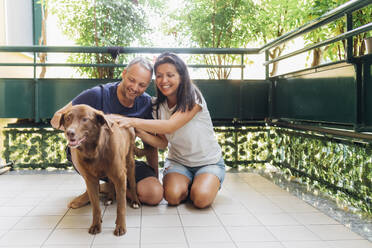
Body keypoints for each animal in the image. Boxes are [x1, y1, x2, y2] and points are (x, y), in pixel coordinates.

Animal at [58, 103, 140, 235]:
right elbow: (96, 207)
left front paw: (120, 227)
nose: (69, 132)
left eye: (85, 119)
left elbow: (121, 206)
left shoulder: (120, 177)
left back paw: (135, 201)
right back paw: (110, 198)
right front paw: (96, 225)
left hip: (129, 162)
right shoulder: (91, 181)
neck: (94, 151)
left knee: (132, 183)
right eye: (68, 118)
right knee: (111, 182)